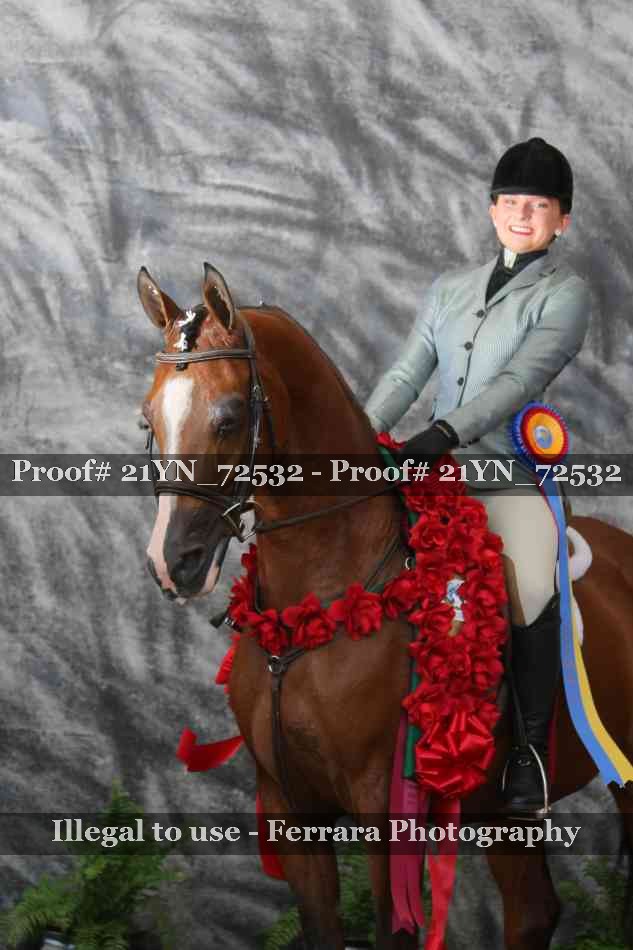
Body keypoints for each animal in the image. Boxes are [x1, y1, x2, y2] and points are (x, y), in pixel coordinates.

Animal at [137, 262, 633, 950]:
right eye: (148, 418)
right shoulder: (291, 808)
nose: (173, 562)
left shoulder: (384, 811)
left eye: (231, 417)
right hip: (501, 816)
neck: (315, 604)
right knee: (533, 909)